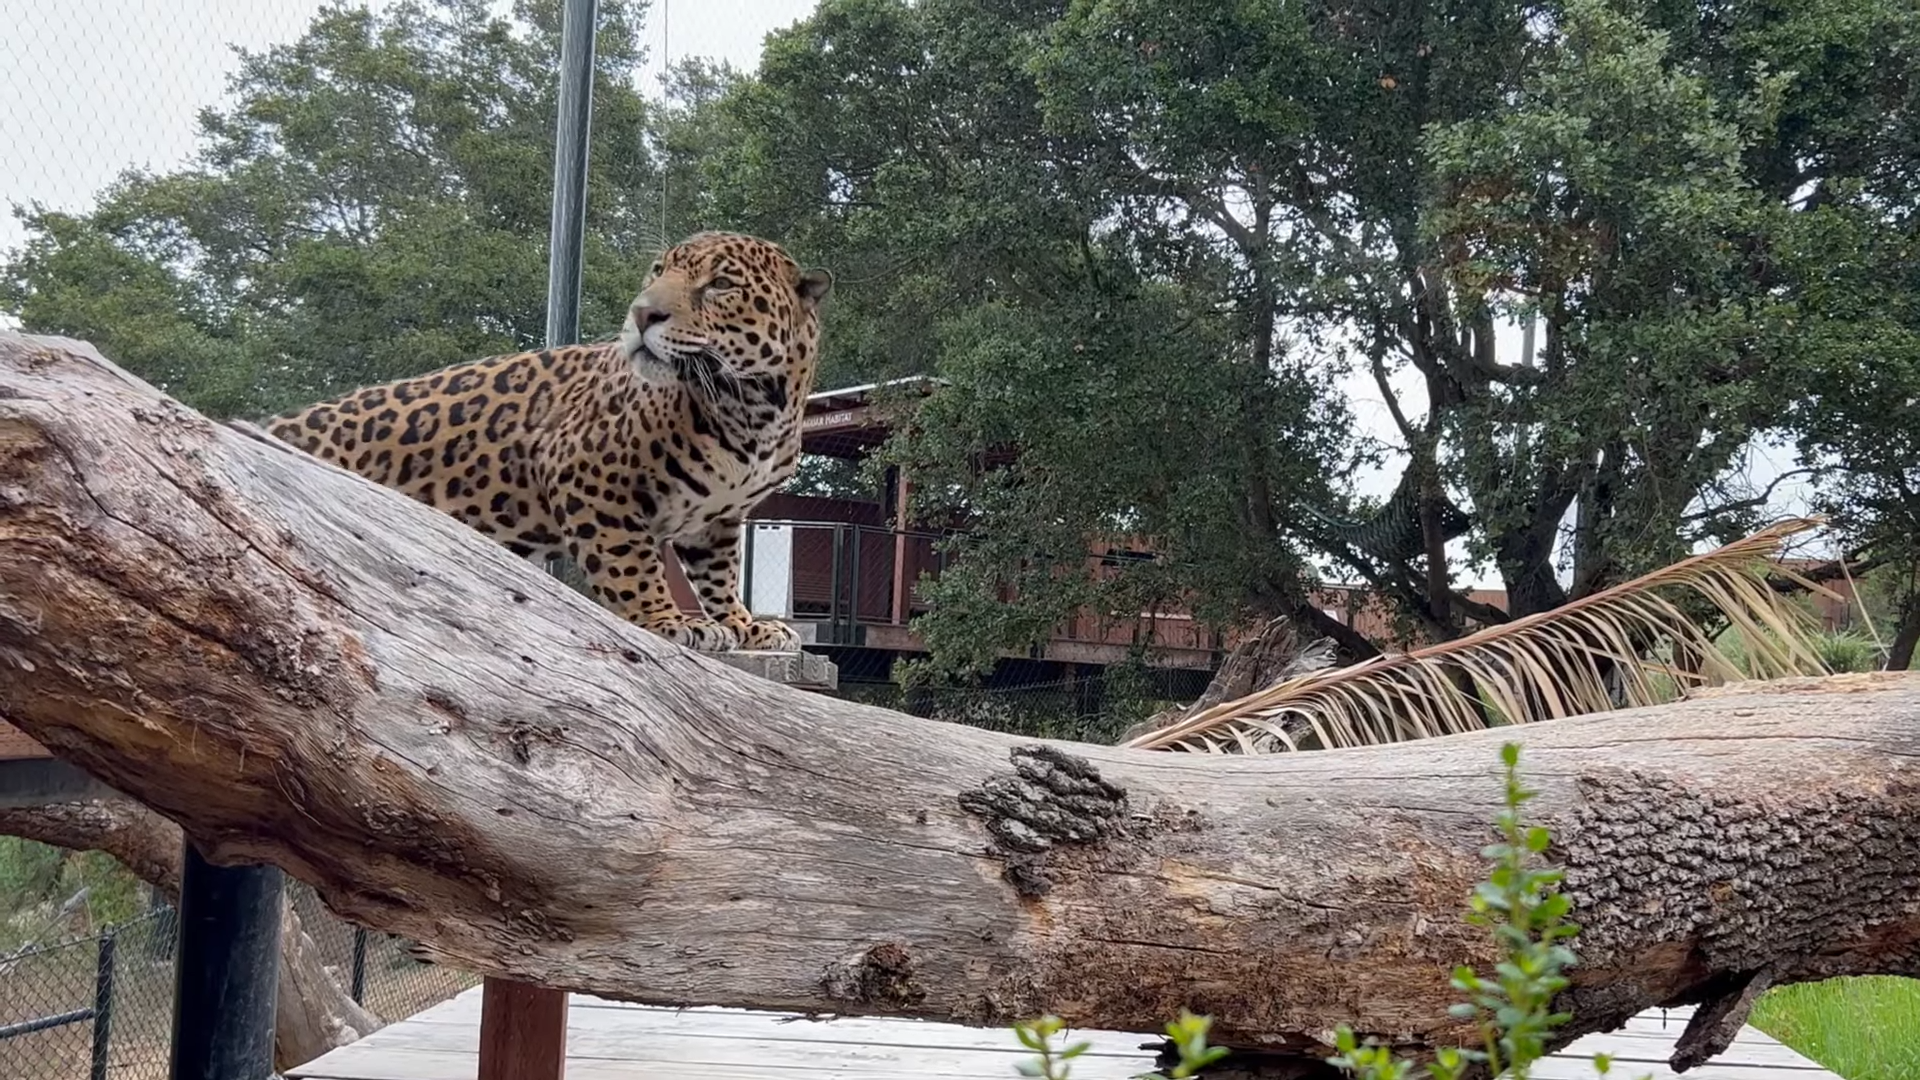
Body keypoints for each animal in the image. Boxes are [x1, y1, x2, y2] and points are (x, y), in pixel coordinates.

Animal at [264, 230, 833, 654]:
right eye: (657, 271)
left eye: (720, 284)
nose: (641, 314)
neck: (754, 407)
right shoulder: (588, 477)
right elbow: (633, 565)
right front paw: (665, 619)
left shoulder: (717, 520)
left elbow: (720, 574)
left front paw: (744, 625)